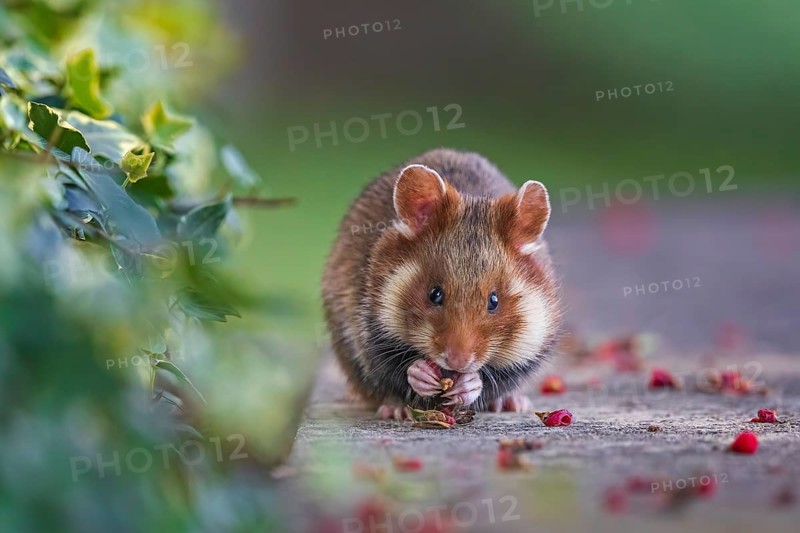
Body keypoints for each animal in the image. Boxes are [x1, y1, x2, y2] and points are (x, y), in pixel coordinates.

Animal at [322, 148, 561, 419]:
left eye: (494, 301)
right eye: (434, 294)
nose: (458, 362)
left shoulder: (529, 348)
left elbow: (493, 379)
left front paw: (470, 383)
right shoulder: (370, 331)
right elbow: (397, 367)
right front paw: (422, 375)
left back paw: (512, 403)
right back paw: (396, 410)